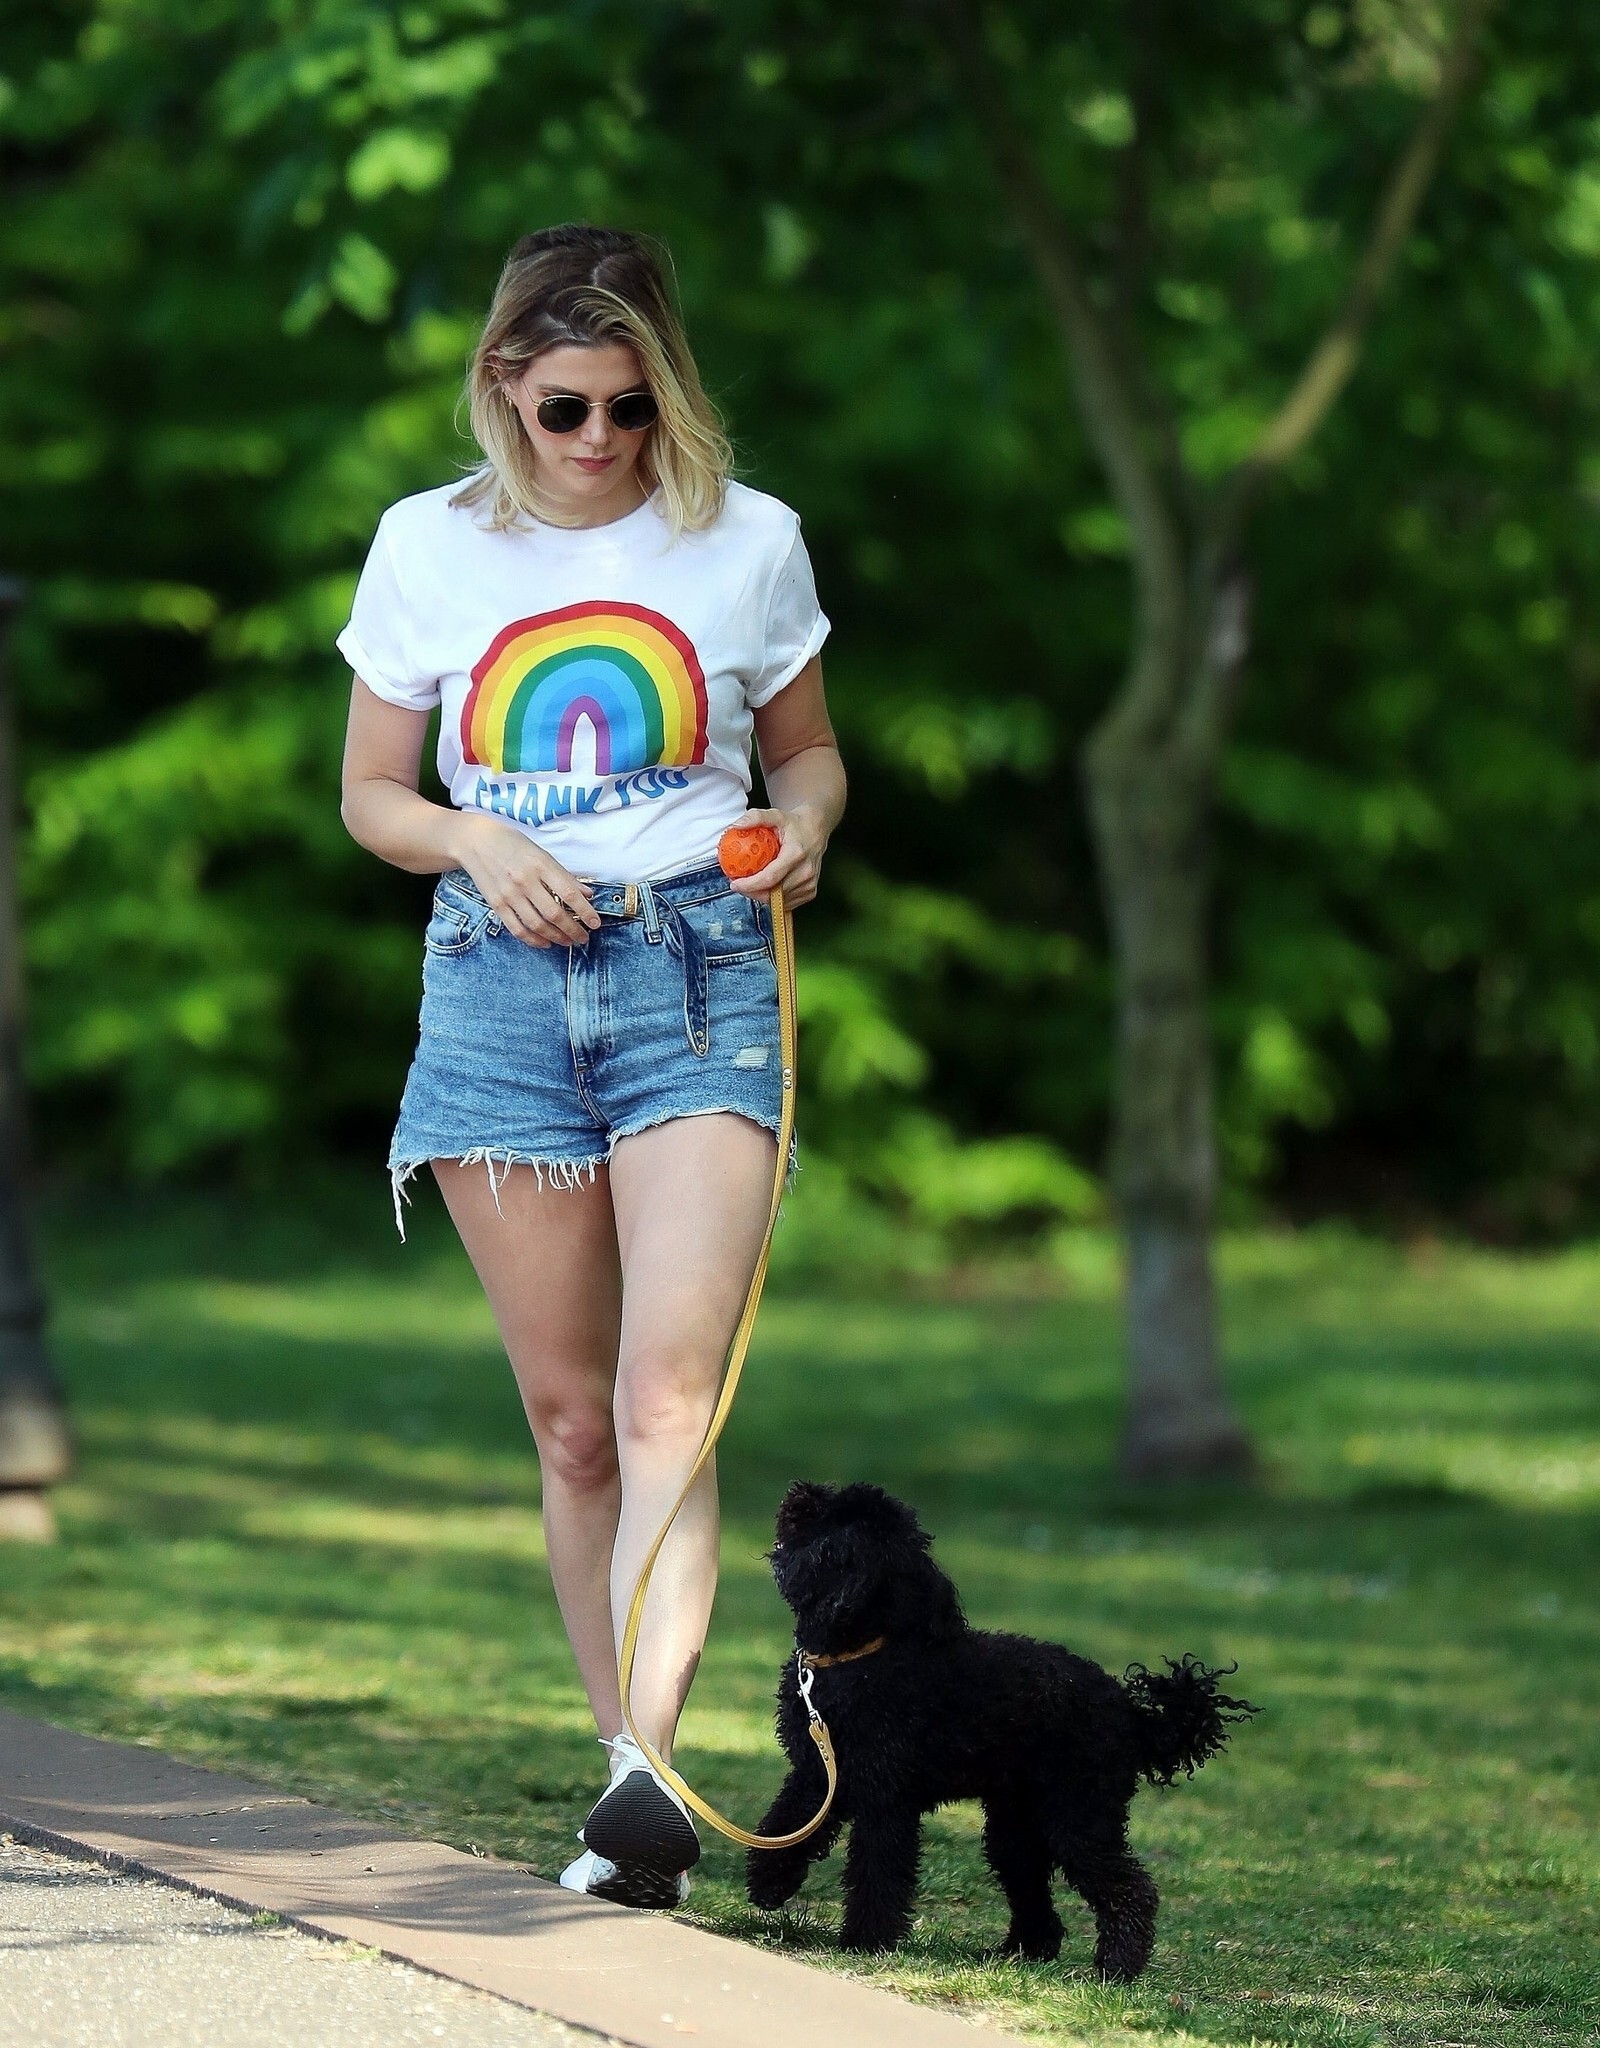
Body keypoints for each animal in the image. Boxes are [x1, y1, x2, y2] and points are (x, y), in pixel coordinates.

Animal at [746, 1481, 1256, 1978]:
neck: (862, 1652)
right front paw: (769, 1885)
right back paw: (1021, 1953)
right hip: (1018, 1825)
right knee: (1034, 1891)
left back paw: (1117, 1968)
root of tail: (1134, 1715)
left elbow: (879, 1871)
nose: (800, 1491)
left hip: (1079, 1814)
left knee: (1130, 1888)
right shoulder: (816, 1776)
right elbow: (787, 1826)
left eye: (833, 1513)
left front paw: (867, 1940)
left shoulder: (885, 1801)